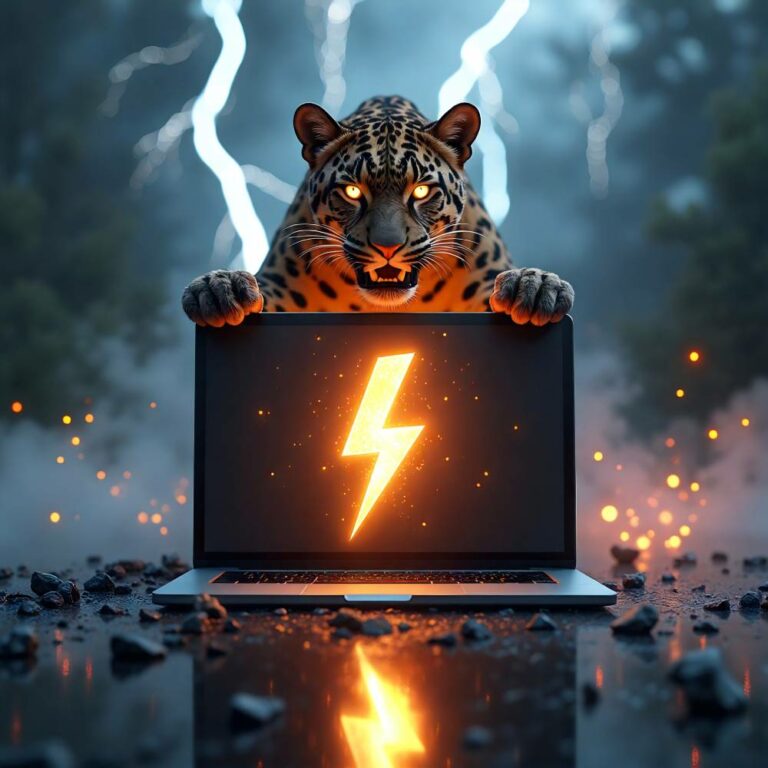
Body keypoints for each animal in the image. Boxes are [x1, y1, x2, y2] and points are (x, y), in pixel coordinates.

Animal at [182, 95, 573, 325]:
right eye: (353, 191)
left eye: (421, 190)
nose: (388, 247)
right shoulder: (280, 287)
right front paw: (220, 289)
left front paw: (533, 286)